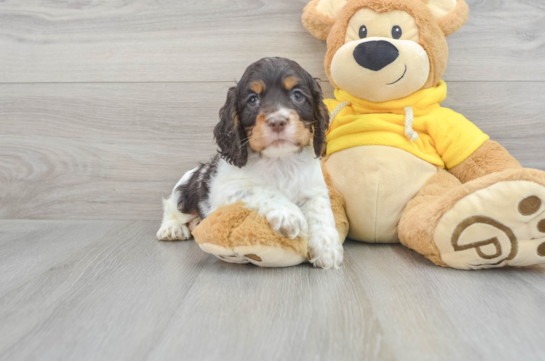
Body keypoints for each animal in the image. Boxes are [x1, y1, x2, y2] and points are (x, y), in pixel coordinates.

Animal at [157, 56, 342, 268]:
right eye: (253, 99)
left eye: (297, 95)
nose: (277, 121)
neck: (280, 160)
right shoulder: (224, 191)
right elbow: (261, 189)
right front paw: (289, 214)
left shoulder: (315, 189)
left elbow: (321, 210)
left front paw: (327, 247)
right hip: (185, 191)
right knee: (172, 208)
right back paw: (172, 229)